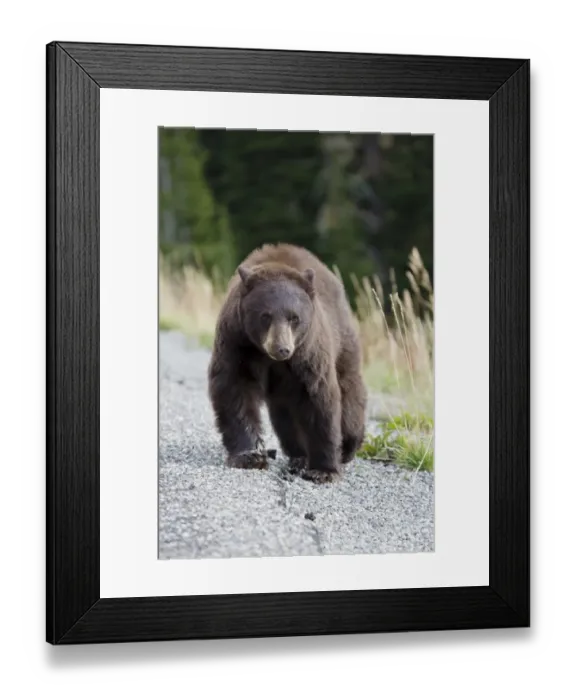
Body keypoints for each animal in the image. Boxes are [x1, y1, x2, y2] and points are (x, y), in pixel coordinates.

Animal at [207, 243, 367, 483]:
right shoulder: (237, 342)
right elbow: (234, 389)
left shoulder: (308, 354)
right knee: (285, 415)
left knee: (349, 388)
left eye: (294, 318)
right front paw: (249, 455)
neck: (267, 357)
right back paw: (299, 456)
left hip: (342, 338)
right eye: (265, 316)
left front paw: (323, 470)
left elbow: (318, 398)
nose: (282, 348)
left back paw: (348, 445)